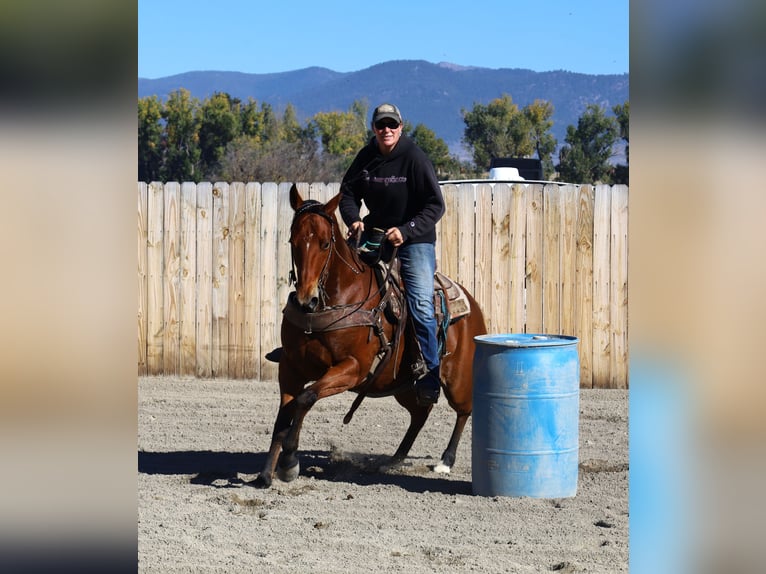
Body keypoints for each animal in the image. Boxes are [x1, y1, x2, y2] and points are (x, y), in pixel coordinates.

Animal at [252, 184, 487, 488]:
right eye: (293, 240)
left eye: (325, 244)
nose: (306, 300)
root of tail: (473, 306)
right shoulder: (291, 368)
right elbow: (283, 418)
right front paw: (265, 474)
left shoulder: (353, 368)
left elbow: (306, 399)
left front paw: (290, 462)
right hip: (404, 385)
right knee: (420, 413)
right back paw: (395, 459)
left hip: (457, 379)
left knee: (463, 410)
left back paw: (445, 461)